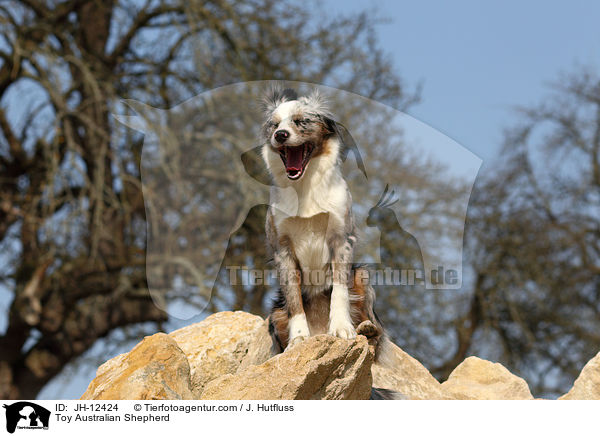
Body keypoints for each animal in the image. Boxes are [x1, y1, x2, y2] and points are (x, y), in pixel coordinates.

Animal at [260, 87, 392, 362]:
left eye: (301, 121)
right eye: (274, 125)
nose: (280, 135)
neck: (305, 186)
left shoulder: (341, 240)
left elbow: (339, 291)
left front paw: (341, 328)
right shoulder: (282, 250)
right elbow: (295, 300)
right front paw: (299, 338)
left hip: (362, 276)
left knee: (374, 335)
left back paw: (364, 329)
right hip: (275, 312)